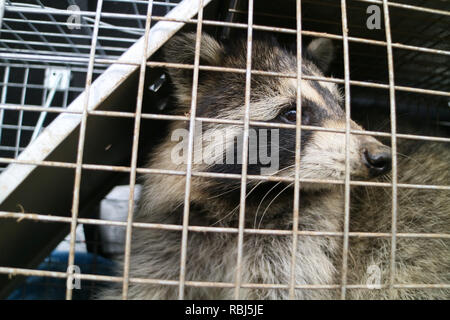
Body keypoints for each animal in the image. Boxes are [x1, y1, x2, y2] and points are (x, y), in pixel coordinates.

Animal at [99, 33, 450, 300]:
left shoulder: (304, 240)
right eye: (292, 114)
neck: (243, 203)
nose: (382, 158)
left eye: (341, 106)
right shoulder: (170, 230)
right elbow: (146, 284)